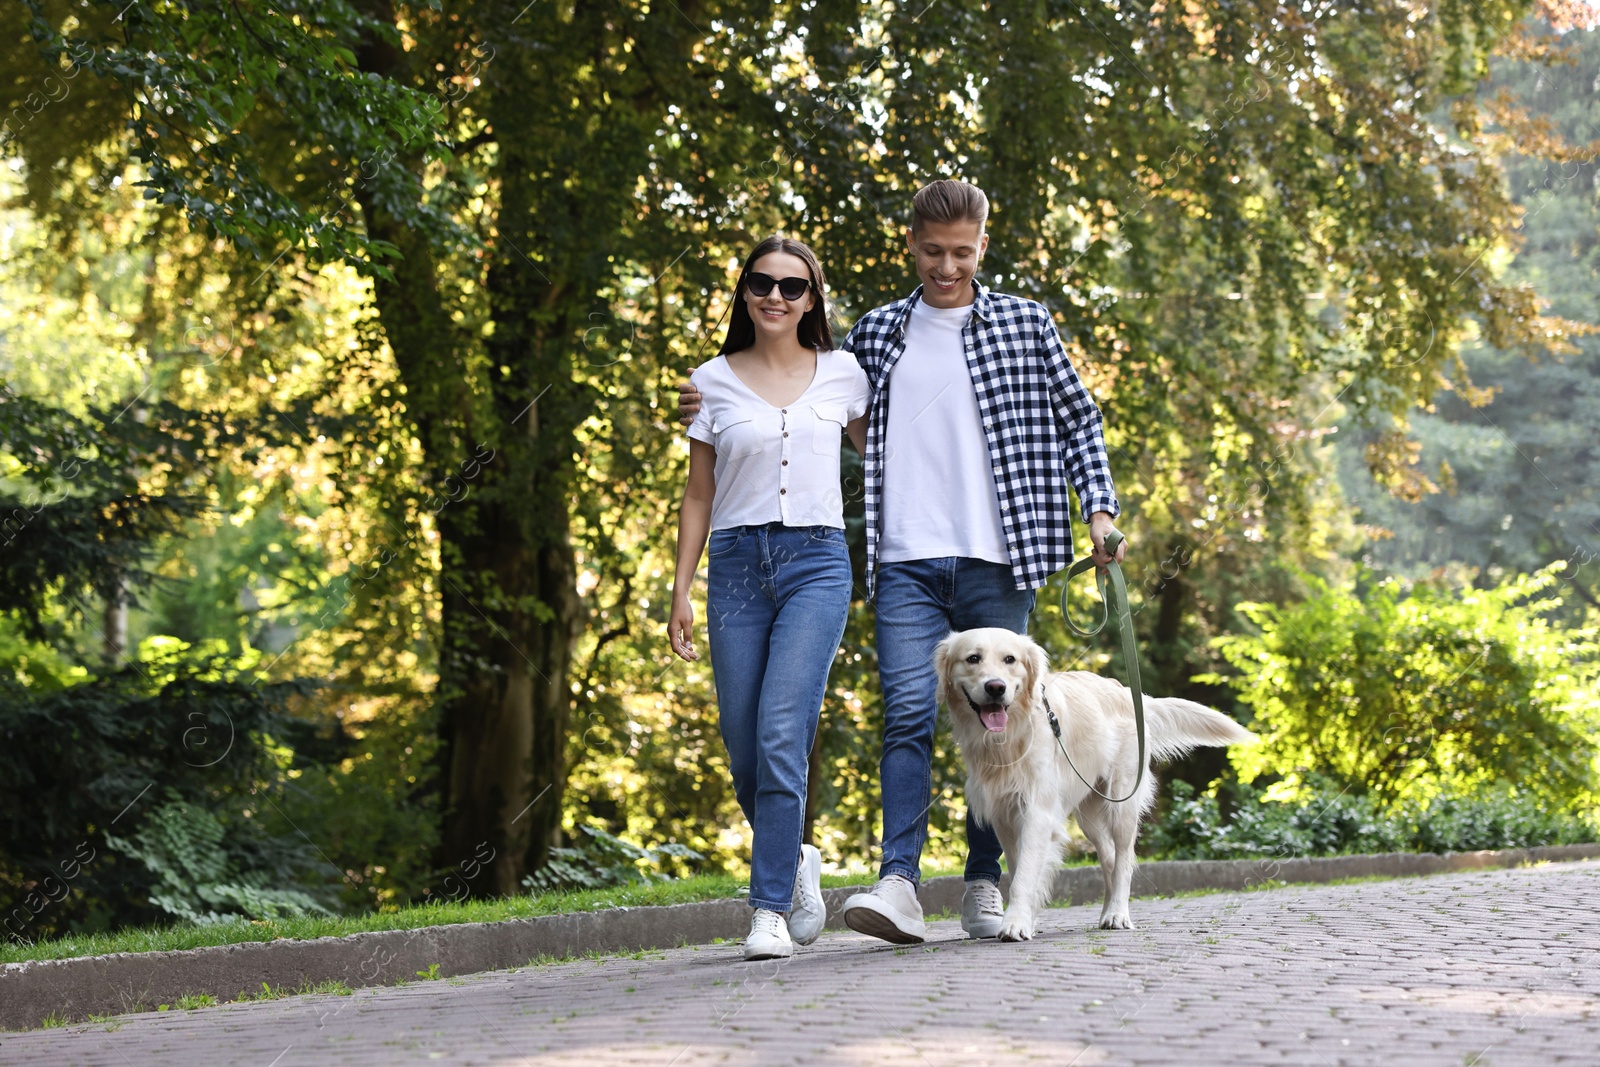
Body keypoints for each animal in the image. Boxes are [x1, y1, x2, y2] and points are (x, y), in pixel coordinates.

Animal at [934, 630, 1254, 940]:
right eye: (973, 658)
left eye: (1010, 659)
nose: (995, 687)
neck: (1010, 737)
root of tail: (1127, 692)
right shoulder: (1004, 815)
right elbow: (1018, 868)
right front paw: (1026, 919)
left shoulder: (1037, 812)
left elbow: (1024, 875)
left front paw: (1015, 924)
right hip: (1089, 816)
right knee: (1109, 859)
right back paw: (1106, 912)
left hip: (1122, 802)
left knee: (1123, 861)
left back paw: (1118, 914)